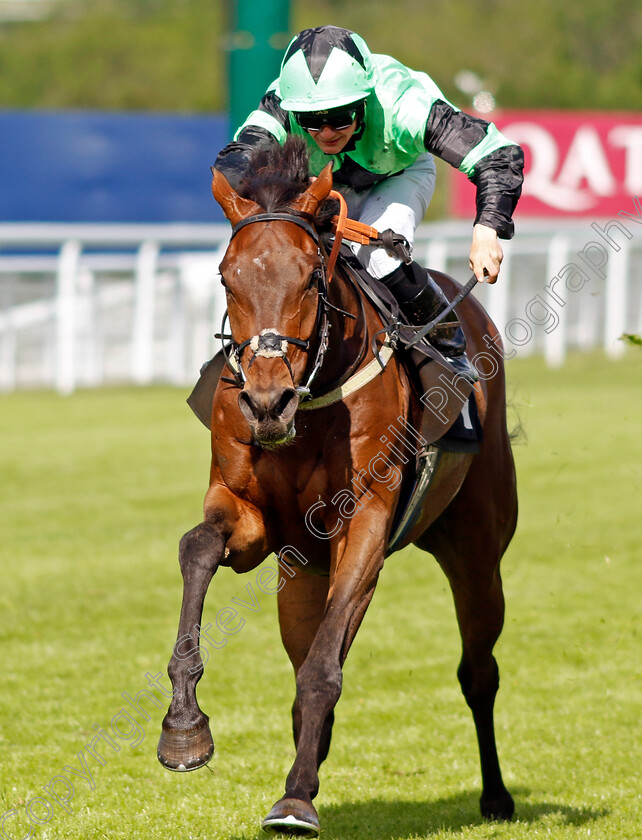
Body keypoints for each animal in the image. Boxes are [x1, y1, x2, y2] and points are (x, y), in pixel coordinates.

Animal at [158, 138, 516, 832]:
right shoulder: (251, 517)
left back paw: (495, 795)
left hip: (478, 551)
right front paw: (184, 727)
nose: (266, 403)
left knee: (478, 671)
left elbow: (324, 671)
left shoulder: (366, 523)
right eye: (226, 276)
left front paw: (296, 798)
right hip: (302, 570)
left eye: (309, 277)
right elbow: (197, 547)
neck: (315, 399)